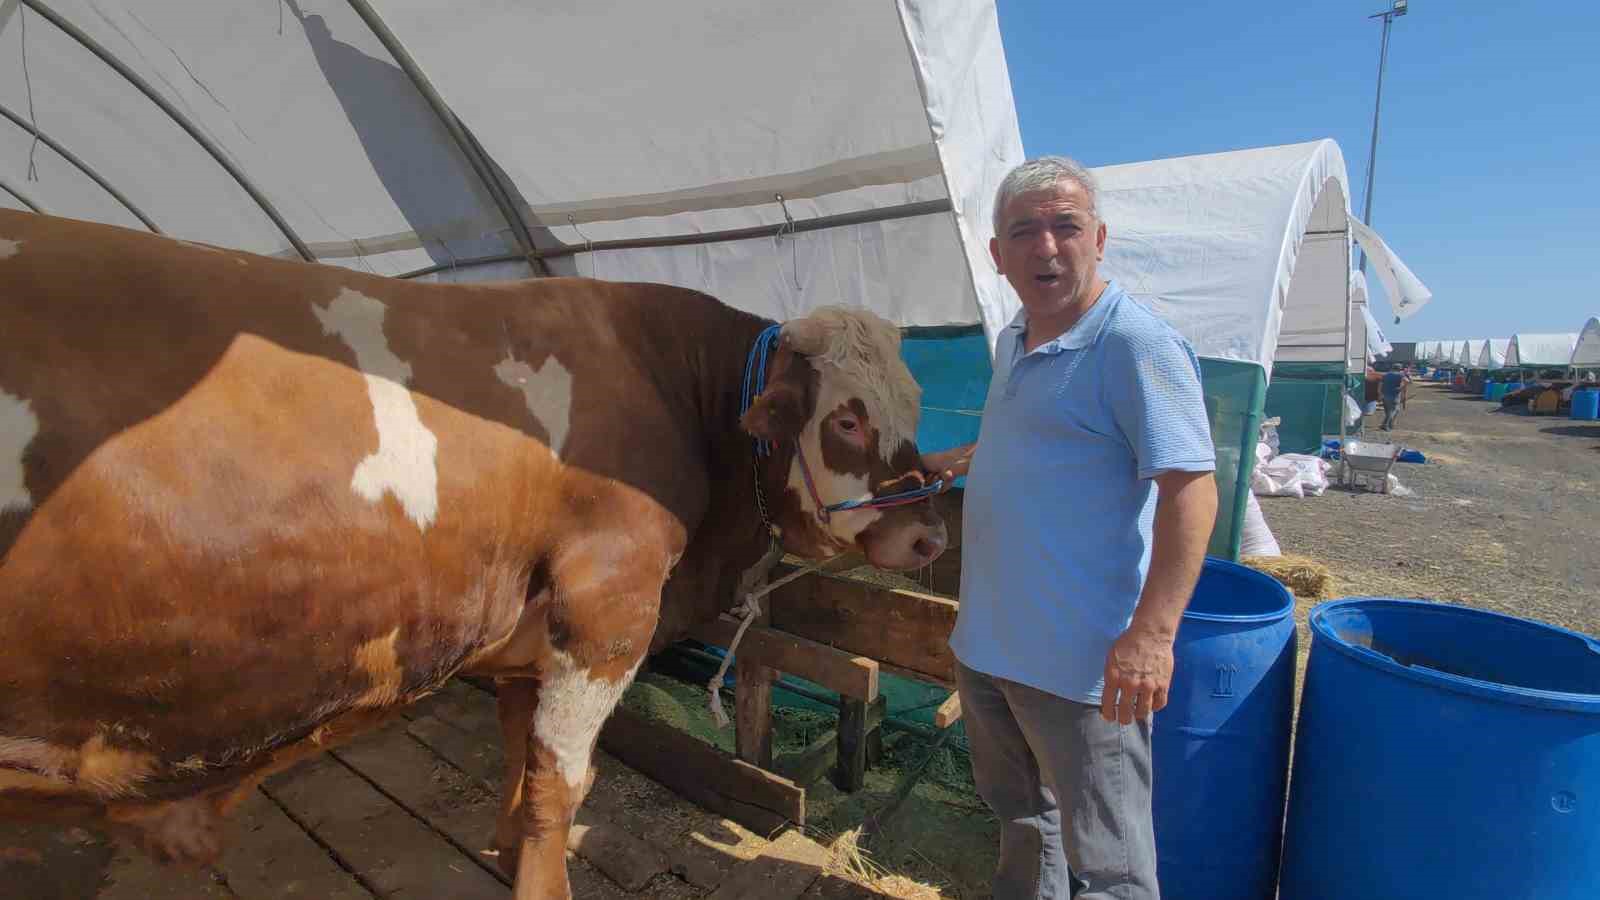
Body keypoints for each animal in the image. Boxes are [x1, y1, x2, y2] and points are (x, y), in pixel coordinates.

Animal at [0, 211, 940, 896]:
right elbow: (563, 781)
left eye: (915, 401)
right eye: (846, 418)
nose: (928, 531)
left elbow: (520, 748)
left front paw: (505, 848)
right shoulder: (607, 608)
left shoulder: (531, 631)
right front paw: (544, 883)